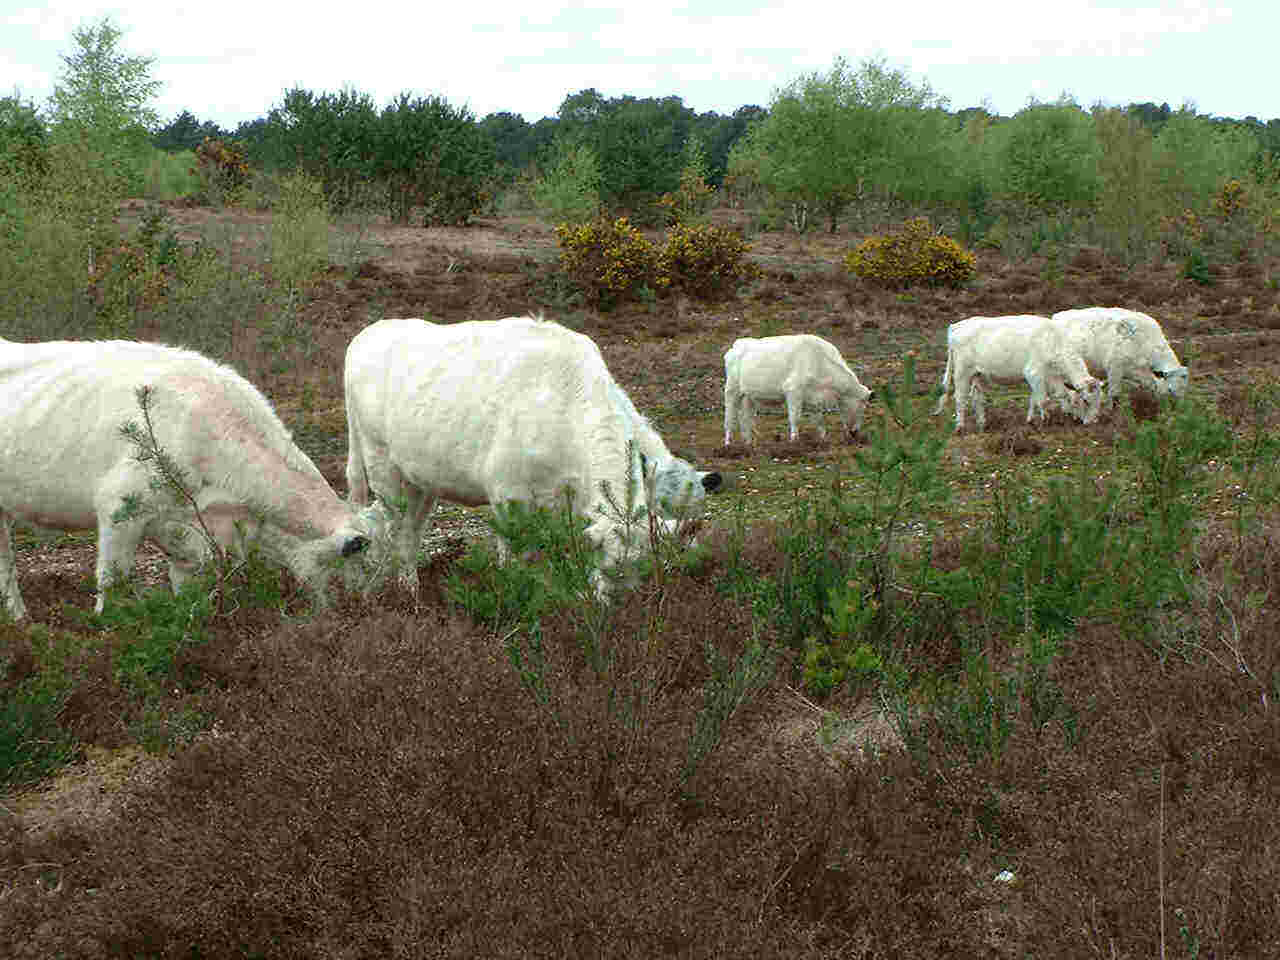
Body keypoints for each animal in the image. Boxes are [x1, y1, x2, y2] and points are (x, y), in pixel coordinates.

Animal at [1, 337, 373, 624]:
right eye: (354, 561)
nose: (357, 610)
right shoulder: (120, 506)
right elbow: (111, 578)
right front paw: (107, 628)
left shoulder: (184, 526)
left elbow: (189, 578)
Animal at [340, 320, 721, 599]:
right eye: (603, 560)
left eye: (638, 568)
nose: (611, 606)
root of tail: (368, 332)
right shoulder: (508, 495)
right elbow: (514, 556)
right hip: (381, 465)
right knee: (391, 526)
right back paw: (392, 591)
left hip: (422, 479)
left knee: (412, 530)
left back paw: (412, 587)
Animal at [727, 335, 875, 448]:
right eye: (862, 407)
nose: (855, 433)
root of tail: (738, 344)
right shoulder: (793, 391)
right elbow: (795, 418)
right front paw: (794, 441)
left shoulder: (814, 398)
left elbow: (819, 419)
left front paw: (823, 439)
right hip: (732, 389)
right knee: (730, 416)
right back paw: (728, 444)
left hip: (748, 395)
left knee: (745, 417)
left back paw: (748, 443)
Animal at [936, 313, 1105, 430]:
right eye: (1086, 401)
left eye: (1099, 401)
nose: (1092, 422)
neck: (1052, 341)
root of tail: (958, 325)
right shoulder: (1034, 372)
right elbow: (1043, 400)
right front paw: (1045, 421)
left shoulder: (1048, 376)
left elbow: (1042, 397)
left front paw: (1031, 419)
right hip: (962, 372)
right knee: (960, 398)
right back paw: (960, 427)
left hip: (978, 374)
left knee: (977, 398)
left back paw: (982, 423)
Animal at [1049, 305, 1187, 407]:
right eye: (1171, 390)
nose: (1178, 405)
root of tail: (1056, 317)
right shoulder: (1116, 366)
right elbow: (1114, 391)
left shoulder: (1133, 369)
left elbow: (1150, 382)